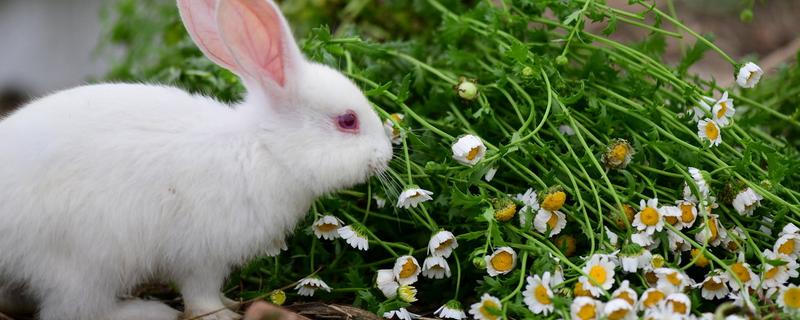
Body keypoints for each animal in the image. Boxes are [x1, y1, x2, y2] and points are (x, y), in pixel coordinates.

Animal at [0, 0, 390, 320]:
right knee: (73, 310)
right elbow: (201, 293)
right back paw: (148, 311)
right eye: (348, 121)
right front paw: (223, 314)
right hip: (84, 262)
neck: (265, 148)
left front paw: (231, 304)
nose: (385, 154)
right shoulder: (203, 255)